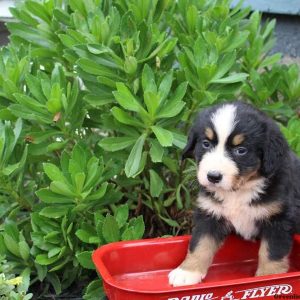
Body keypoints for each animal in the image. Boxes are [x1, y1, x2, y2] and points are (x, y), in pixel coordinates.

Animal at [169, 102, 300, 288]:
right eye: (206, 144)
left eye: (241, 150)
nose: (213, 176)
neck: (238, 191)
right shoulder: (210, 213)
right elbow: (200, 243)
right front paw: (187, 272)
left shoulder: (279, 219)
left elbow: (272, 253)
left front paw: (269, 279)